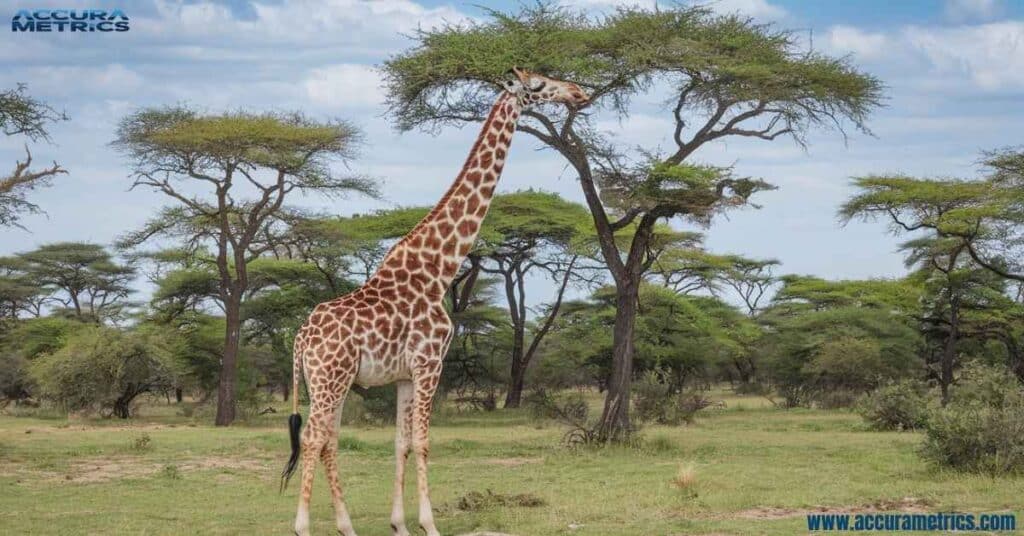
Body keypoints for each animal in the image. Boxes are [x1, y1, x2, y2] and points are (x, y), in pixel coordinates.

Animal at [280, 68, 589, 536]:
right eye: (538, 85)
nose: (580, 93)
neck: (439, 267)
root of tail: (300, 339)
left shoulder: (406, 374)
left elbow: (401, 442)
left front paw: (399, 524)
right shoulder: (431, 363)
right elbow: (423, 442)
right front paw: (429, 523)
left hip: (331, 382)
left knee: (328, 439)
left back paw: (346, 524)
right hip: (329, 378)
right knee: (314, 438)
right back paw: (302, 525)